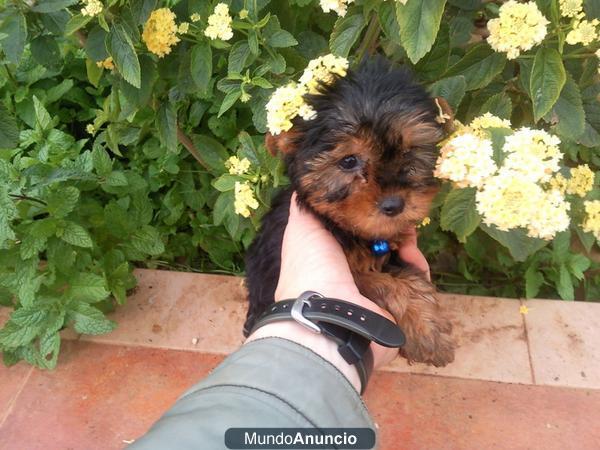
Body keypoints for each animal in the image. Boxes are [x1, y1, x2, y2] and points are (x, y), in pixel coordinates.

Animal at [244, 57, 454, 366]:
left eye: (408, 152)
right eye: (348, 161)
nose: (394, 205)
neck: (351, 230)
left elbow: (406, 275)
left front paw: (429, 328)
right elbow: (377, 282)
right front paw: (428, 335)